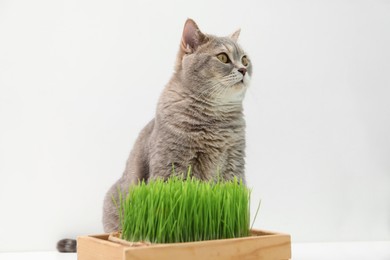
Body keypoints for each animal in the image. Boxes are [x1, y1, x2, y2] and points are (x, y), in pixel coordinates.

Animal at [58, 18, 253, 254]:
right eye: (223, 57)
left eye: (245, 58)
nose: (243, 69)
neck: (217, 121)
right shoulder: (172, 165)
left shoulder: (234, 166)